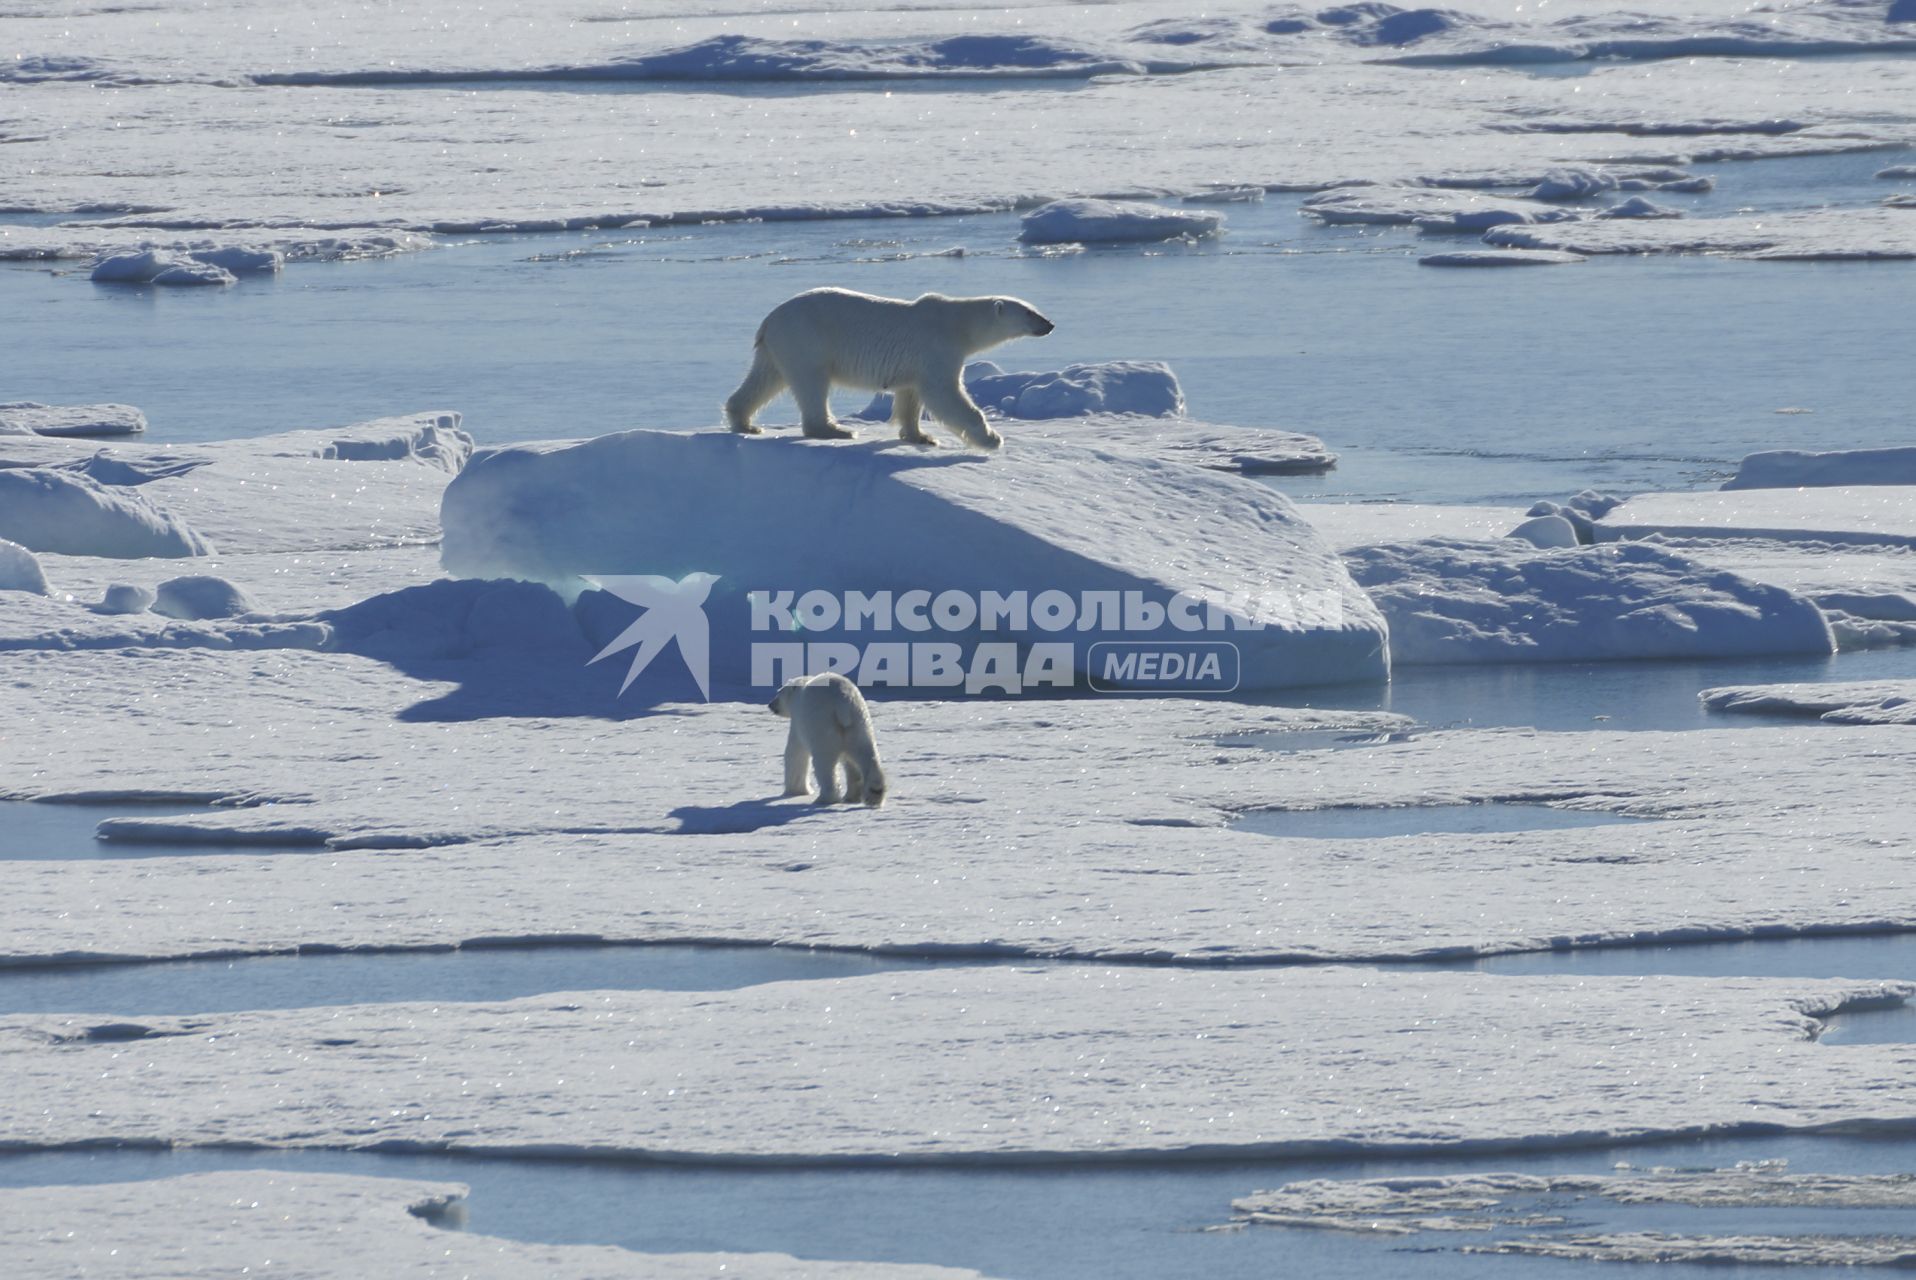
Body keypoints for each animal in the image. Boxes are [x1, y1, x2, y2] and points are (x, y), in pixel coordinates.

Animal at [720, 285, 1049, 450]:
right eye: (1029, 312)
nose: (1049, 324)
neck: (958, 324)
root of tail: (769, 319)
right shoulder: (938, 347)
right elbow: (945, 395)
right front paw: (992, 439)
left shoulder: (916, 363)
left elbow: (911, 396)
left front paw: (921, 436)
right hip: (806, 338)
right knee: (811, 382)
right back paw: (835, 430)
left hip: (778, 347)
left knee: (765, 379)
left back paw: (745, 422)